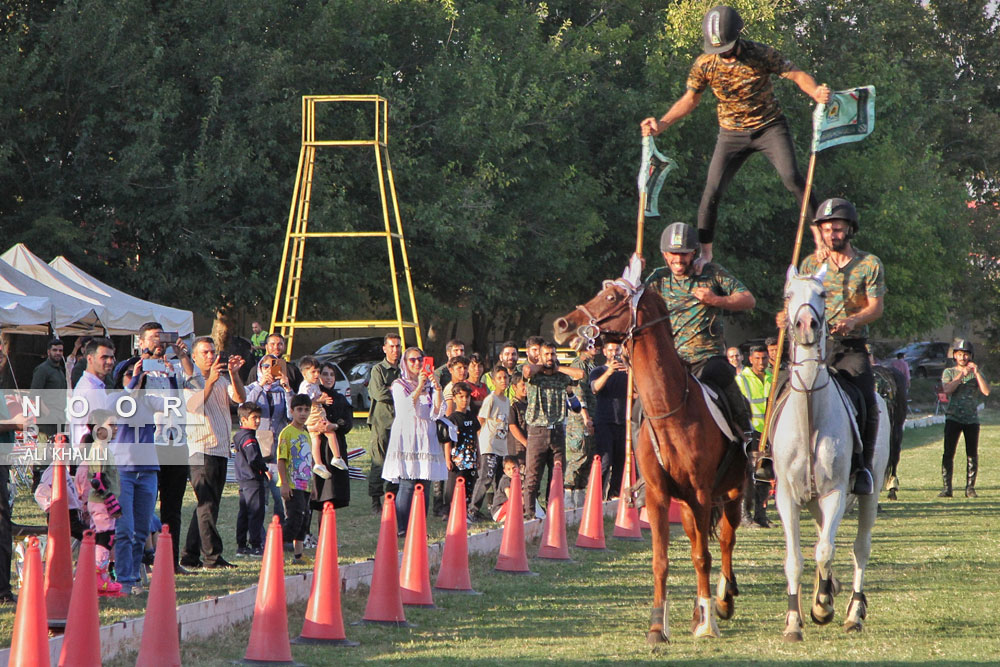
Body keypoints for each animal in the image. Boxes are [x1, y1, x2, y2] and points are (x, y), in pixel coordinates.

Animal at [552, 258, 748, 644]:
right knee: (699, 539)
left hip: (732, 491)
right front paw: (658, 626)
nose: (563, 324)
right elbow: (662, 560)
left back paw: (721, 600)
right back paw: (699, 610)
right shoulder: (660, 495)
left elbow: (704, 555)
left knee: (726, 540)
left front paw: (709, 623)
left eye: (612, 296)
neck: (671, 409)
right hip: (686, 505)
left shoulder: (702, 492)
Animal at [772, 264, 892, 640]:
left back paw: (853, 611)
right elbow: (795, 558)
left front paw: (823, 607)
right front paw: (794, 621)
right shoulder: (787, 496)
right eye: (788, 295)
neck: (810, 411)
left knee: (859, 548)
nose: (806, 326)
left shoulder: (837, 492)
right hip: (812, 502)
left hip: (867, 493)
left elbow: (825, 550)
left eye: (822, 294)